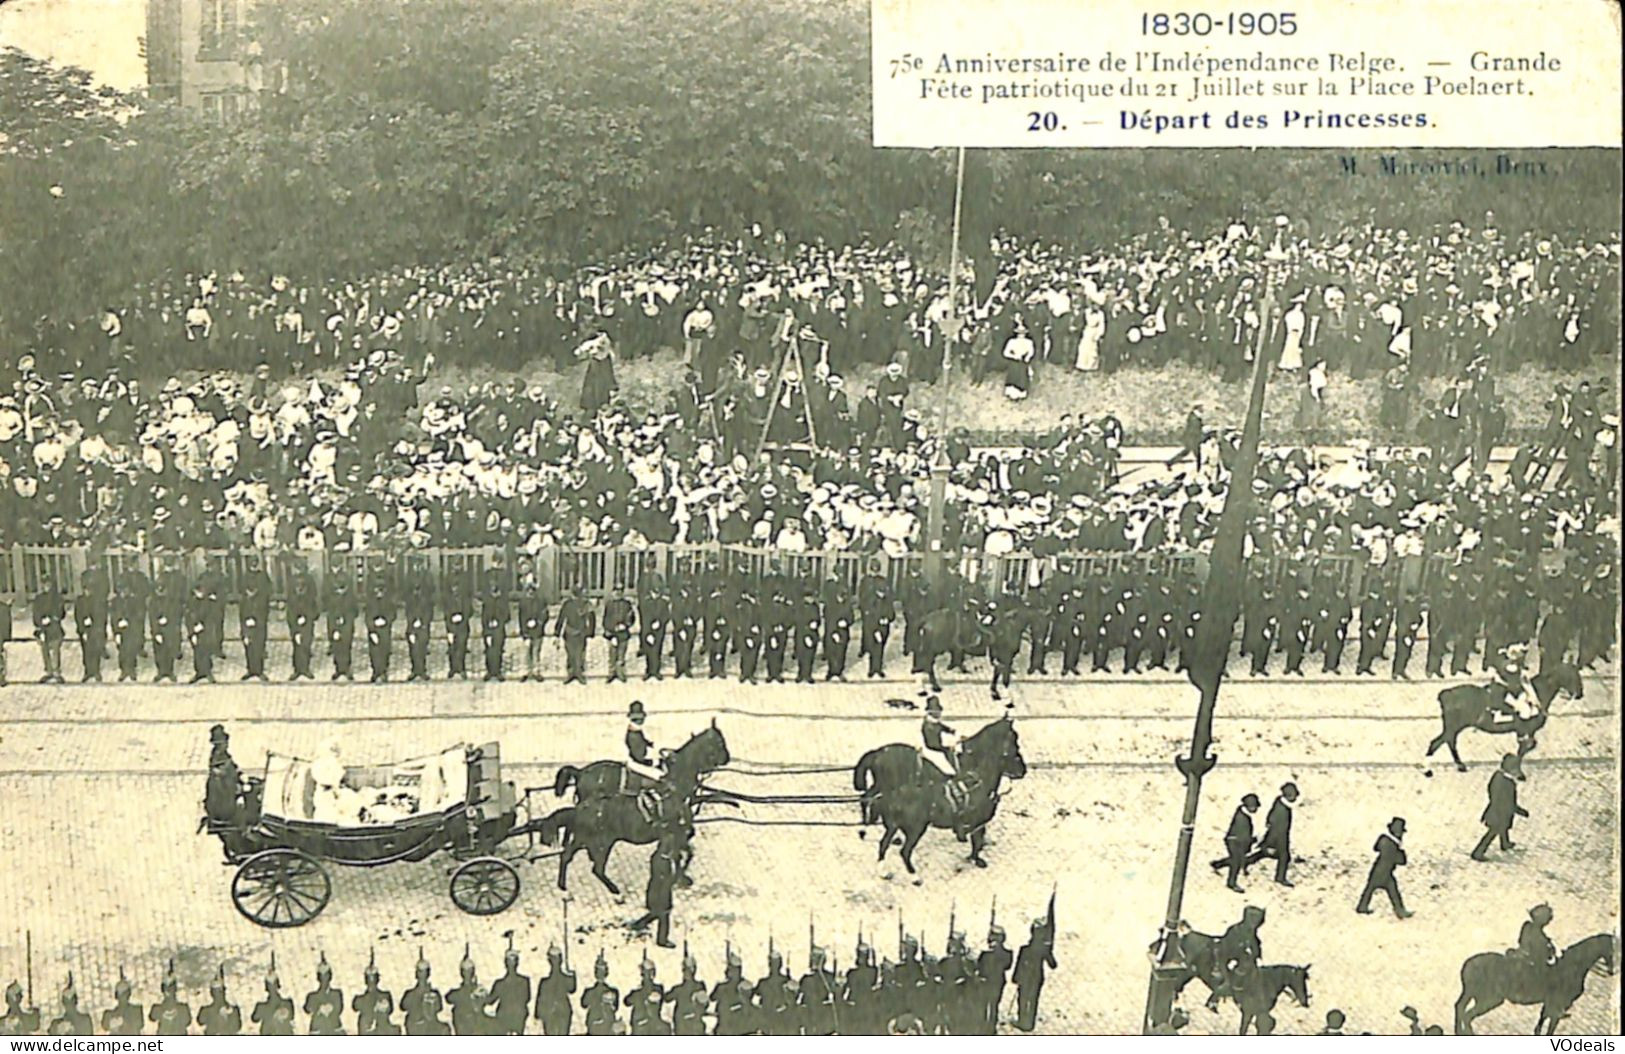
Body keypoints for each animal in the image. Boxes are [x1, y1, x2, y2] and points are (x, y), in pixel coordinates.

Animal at [851, 714, 1027, 870]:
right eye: (1014, 741)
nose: (1023, 771)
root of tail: (879, 751)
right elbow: (976, 837)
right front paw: (975, 857)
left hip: (881, 786)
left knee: (868, 798)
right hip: (885, 787)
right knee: (870, 800)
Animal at [1430, 662, 1579, 769]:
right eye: (1573, 676)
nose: (1580, 694)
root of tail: (1446, 693)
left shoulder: (1528, 731)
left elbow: (1528, 746)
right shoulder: (1523, 730)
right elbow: (1524, 748)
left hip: (1452, 728)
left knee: (1444, 742)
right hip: (1452, 728)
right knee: (1441, 742)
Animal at [1456, 935, 1618, 1032]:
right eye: (1614, 951)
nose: (1612, 972)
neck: (1572, 967)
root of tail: (1468, 964)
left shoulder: (1550, 1005)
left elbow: (1541, 1023)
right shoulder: (1558, 1008)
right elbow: (1549, 1027)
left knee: (1460, 1009)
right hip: (1489, 1000)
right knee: (1467, 1015)